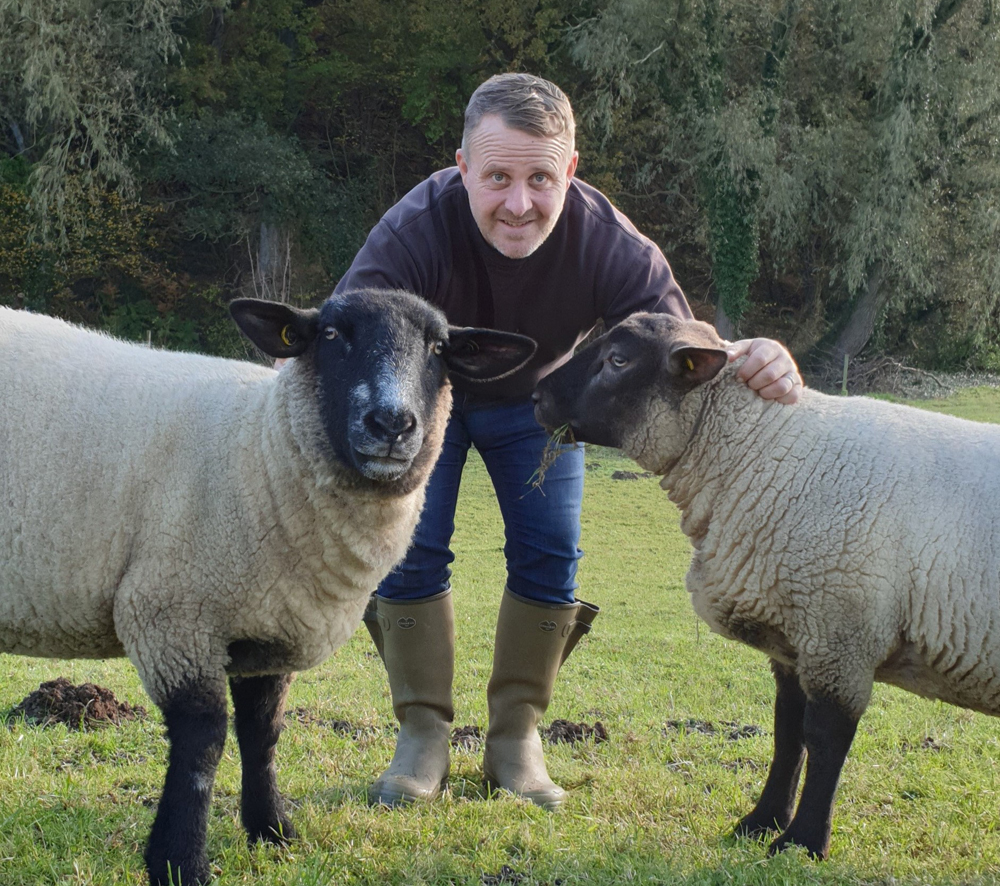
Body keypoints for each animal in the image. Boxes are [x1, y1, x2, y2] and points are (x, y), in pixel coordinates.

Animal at [0, 288, 536, 886]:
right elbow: (202, 744)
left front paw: (272, 832)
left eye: (439, 348)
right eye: (332, 334)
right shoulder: (171, 614)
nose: (392, 423)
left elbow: (262, 734)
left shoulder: (270, 625)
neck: (262, 447)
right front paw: (180, 861)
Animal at [532, 311, 1000, 860]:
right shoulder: (797, 641)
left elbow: (824, 740)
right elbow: (786, 733)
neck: (762, 449)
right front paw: (759, 823)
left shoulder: (841, 634)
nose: (537, 396)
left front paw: (803, 842)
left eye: (618, 360)